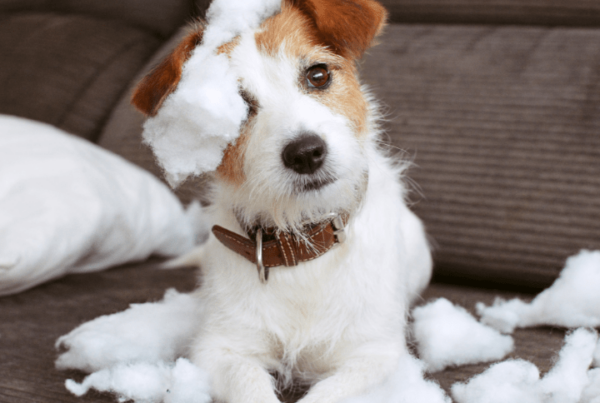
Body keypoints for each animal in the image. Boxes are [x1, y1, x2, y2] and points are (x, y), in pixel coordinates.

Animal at [131, 1, 432, 402]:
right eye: (237, 108)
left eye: (318, 75)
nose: (305, 153)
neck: (302, 243)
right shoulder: (222, 349)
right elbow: (249, 386)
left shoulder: (373, 356)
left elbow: (328, 394)